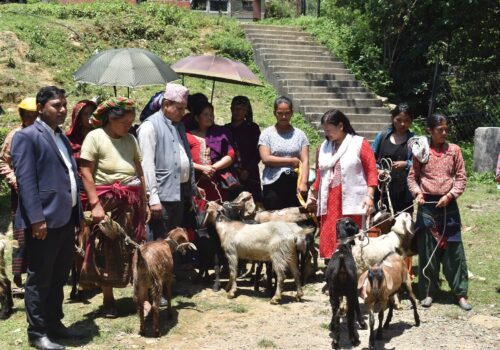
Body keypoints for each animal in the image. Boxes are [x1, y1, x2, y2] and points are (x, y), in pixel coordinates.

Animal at [324, 217, 368, 348]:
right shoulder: (354, 291)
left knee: (337, 313)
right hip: (350, 292)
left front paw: (331, 325)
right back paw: (354, 339)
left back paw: (335, 341)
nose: (360, 229)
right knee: (349, 314)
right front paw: (362, 323)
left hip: (333, 294)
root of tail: (342, 266)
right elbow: (357, 307)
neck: (343, 246)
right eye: (354, 224)